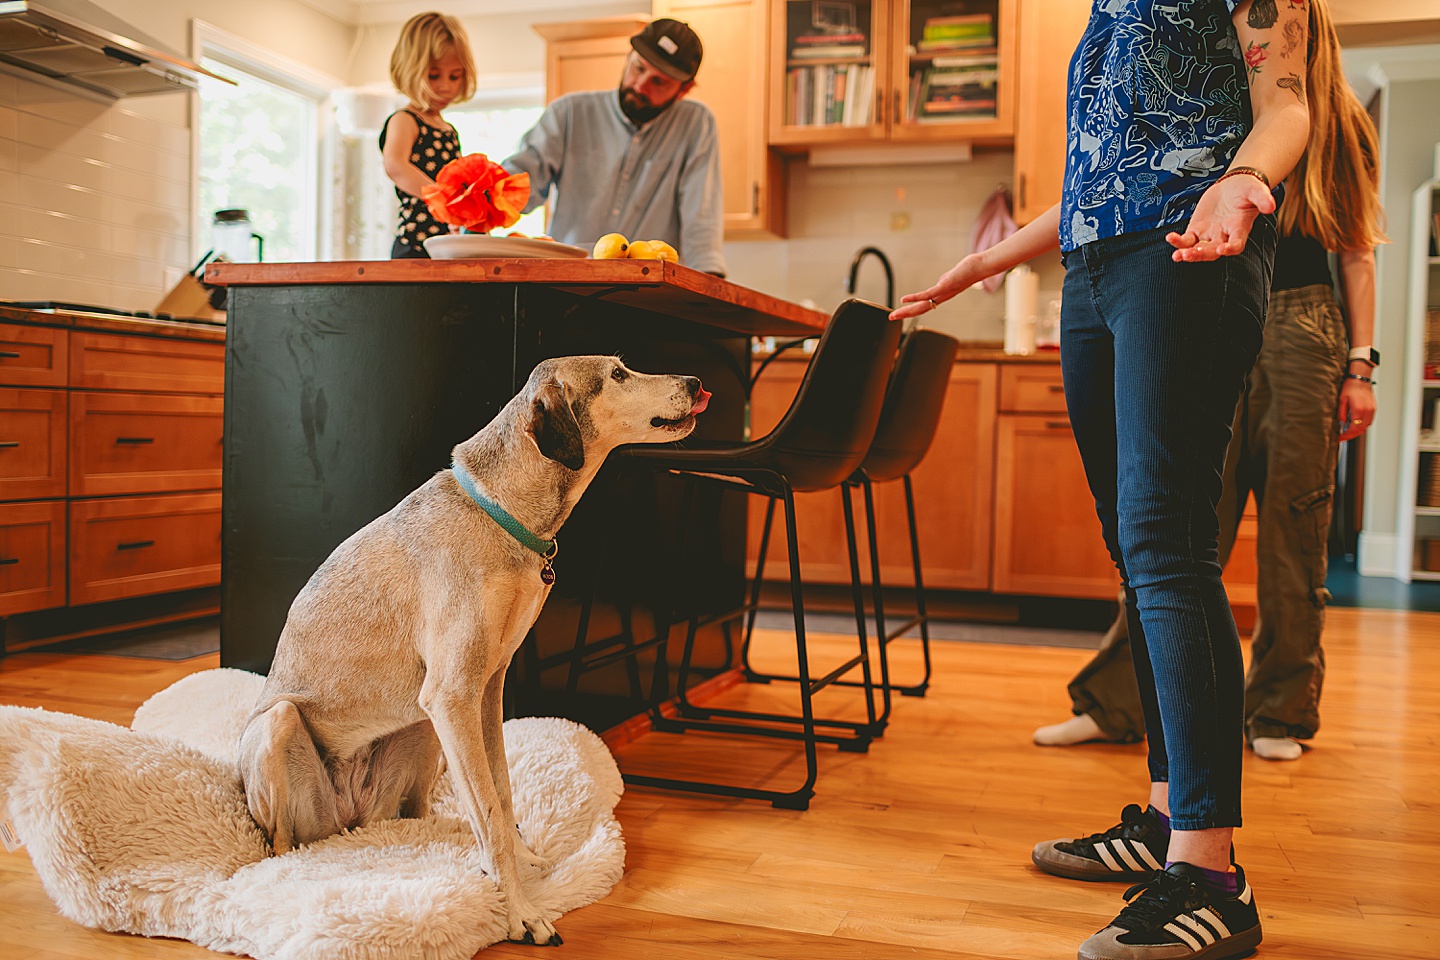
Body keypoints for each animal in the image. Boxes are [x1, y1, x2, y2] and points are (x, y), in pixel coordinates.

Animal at [237, 358, 708, 944]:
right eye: (618, 373)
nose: (696, 383)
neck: (500, 512)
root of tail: (345, 821)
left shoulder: (486, 691)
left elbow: (500, 797)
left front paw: (523, 865)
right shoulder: (453, 694)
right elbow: (489, 810)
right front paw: (520, 912)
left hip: (420, 730)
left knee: (415, 814)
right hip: (283, 724)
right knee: (280, 840)